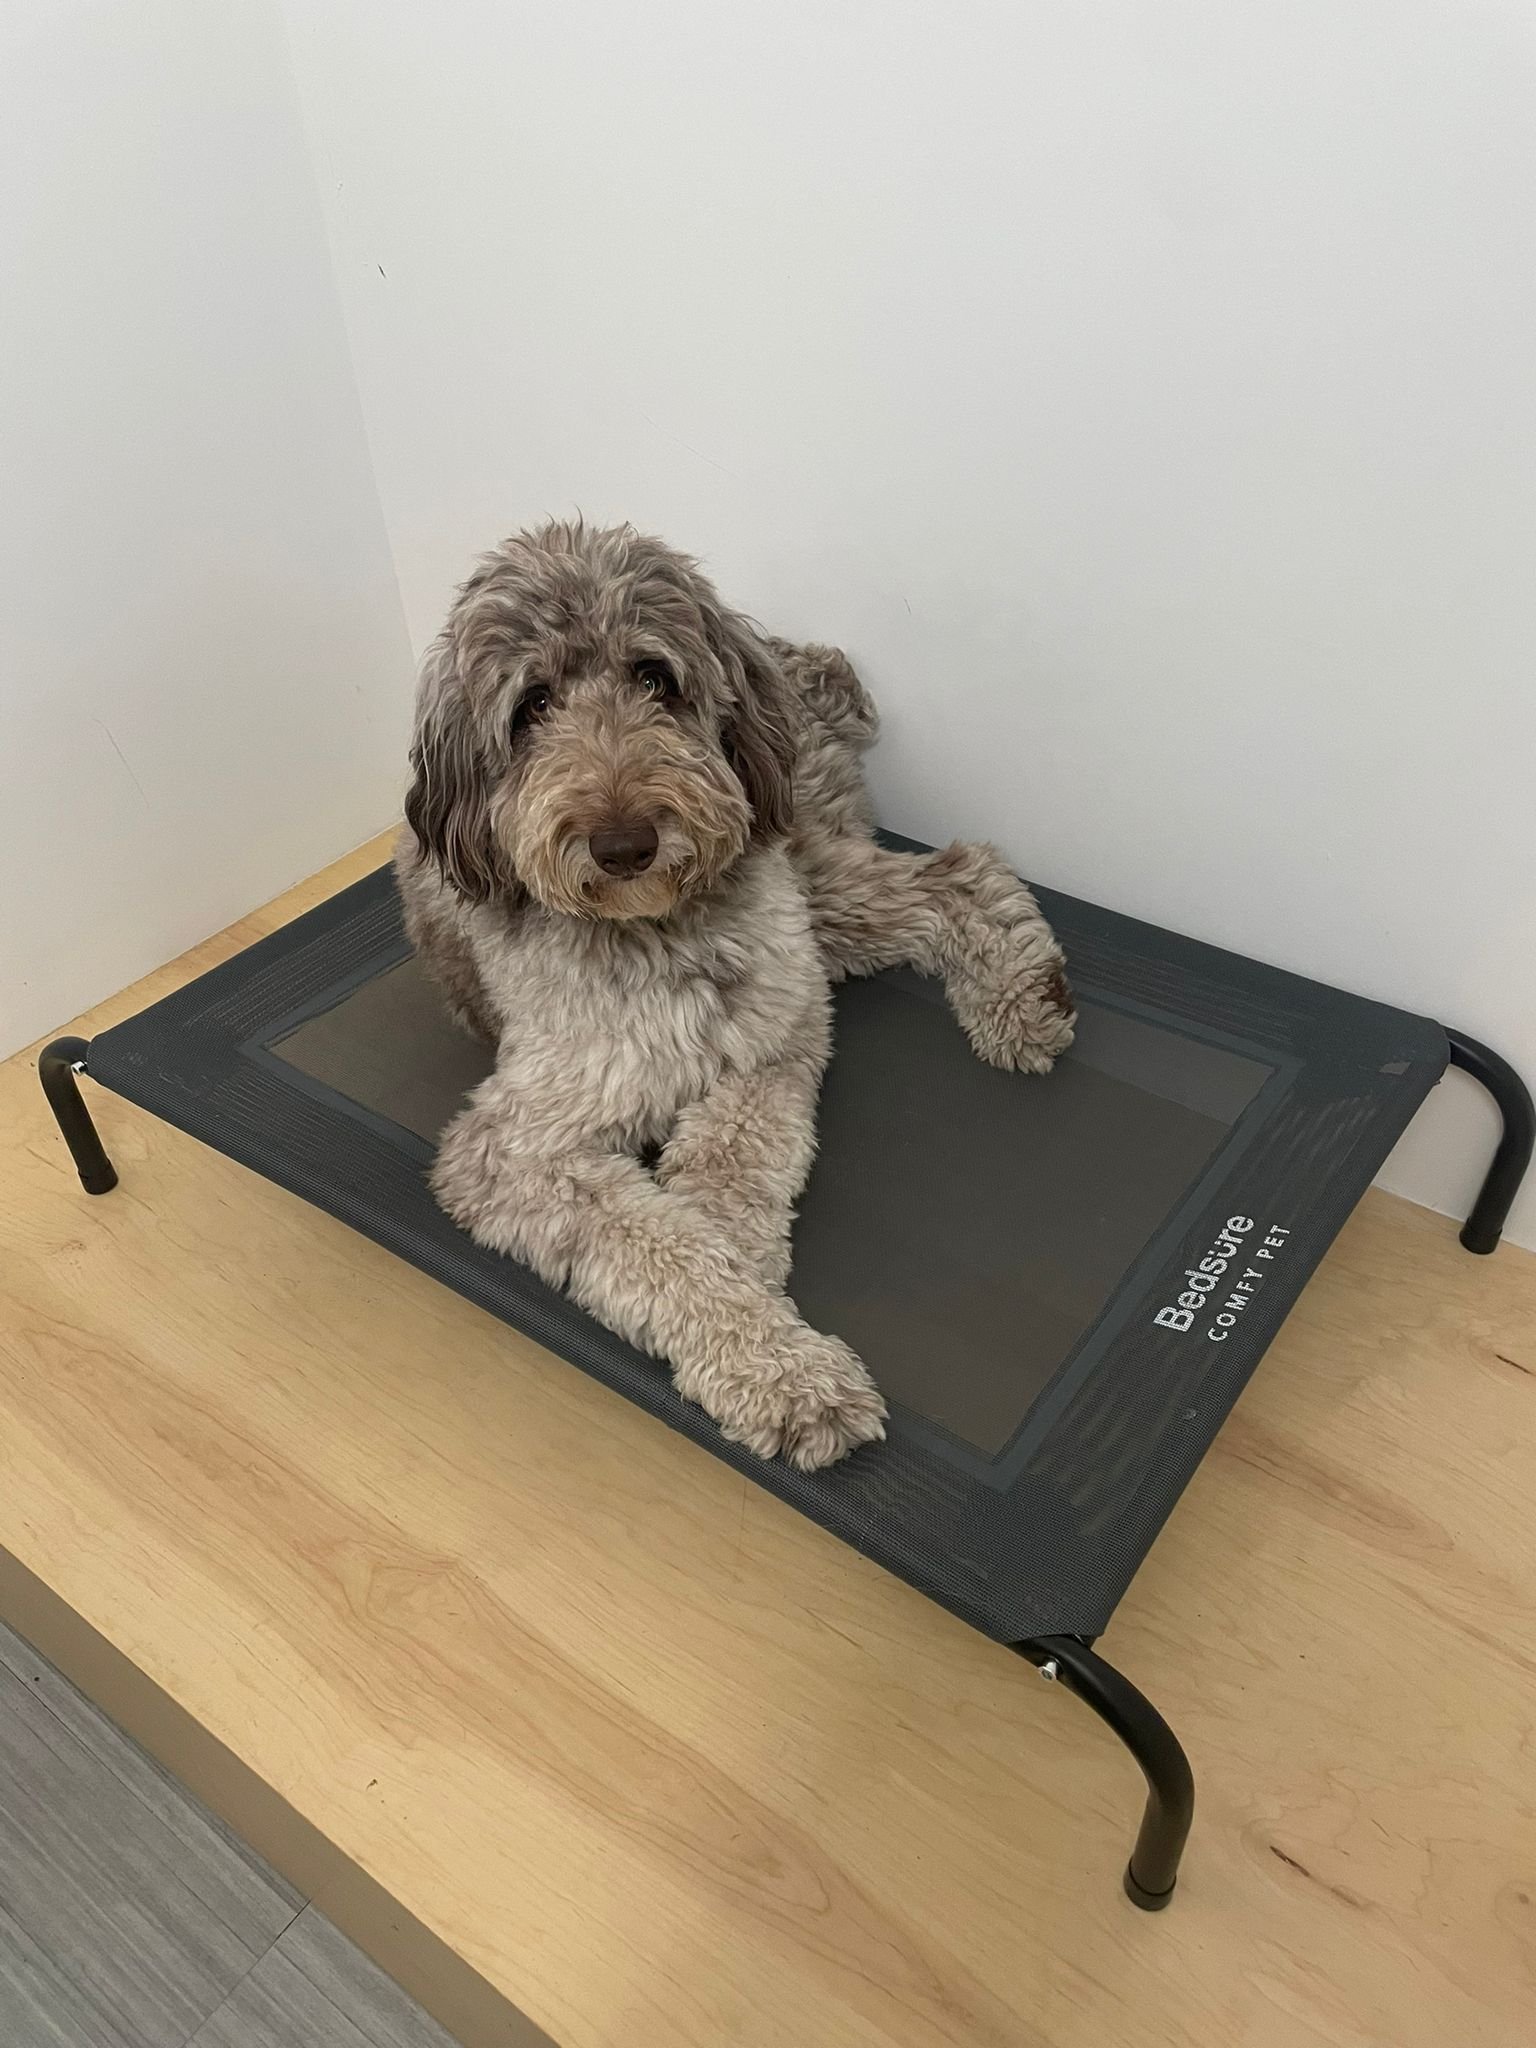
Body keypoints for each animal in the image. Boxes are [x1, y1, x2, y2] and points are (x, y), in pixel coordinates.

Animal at [396, 520, 1074, 1469]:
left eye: (653, 676)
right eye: (532, 705)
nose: (624, 843)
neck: (655, 934)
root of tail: (788, 655)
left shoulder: (772, 1034)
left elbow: (727, 1177)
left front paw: (766, 1336)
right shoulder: (514, 1148)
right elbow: (672, 1243)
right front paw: (776, 1362)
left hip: (805, 872)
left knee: (959, 871)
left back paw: (1024, 996)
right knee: (952, 875)